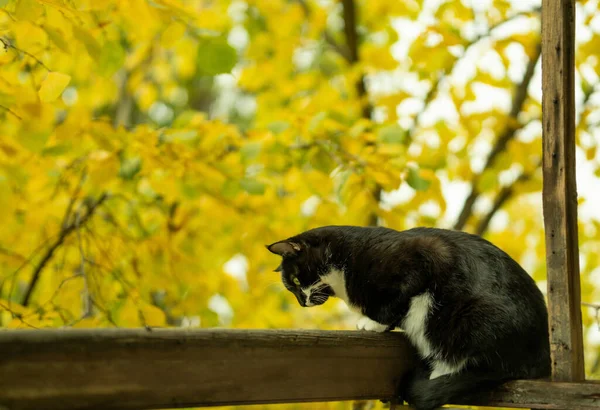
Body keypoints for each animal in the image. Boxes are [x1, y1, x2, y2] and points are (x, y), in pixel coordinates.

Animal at [270, 224, 552, 410]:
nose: (302, 302)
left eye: (295, 281)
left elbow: (398, 300)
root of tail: (541, 356)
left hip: (472, 318)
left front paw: (373, 323)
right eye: (291, 288)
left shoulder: (424, 257)